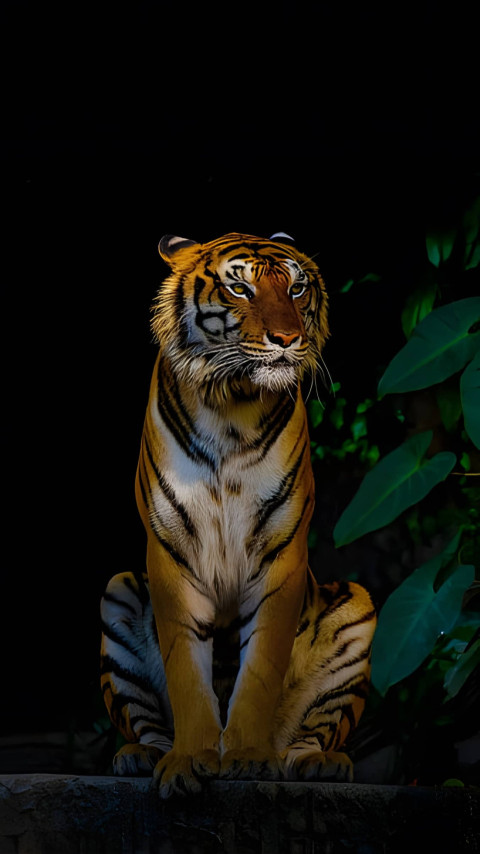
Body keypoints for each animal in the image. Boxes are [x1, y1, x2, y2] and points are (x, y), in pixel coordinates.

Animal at [100, 232, 376, 799]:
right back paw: (139, 756)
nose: (288, 339)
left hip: (355, 609)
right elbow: (186, 666)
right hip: (119, 593)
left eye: (296, 288)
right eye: (240, 287)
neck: (232, 404)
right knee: (145, 725)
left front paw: (248, 757)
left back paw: (317, 762)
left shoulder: (281, 552)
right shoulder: (171, 554)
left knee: (313, 731)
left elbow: (261, 666)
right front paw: (189, 762)